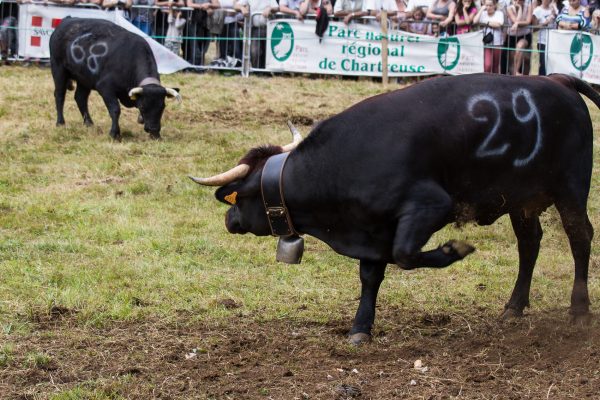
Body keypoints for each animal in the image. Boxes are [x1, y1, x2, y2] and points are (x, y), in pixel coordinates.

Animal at [48, 17, 180, 142]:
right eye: (143, 107)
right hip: (58, 69)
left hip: (84, 79)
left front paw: (157, 135)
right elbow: (115, 109)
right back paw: (60, 122)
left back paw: (89, 123)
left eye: (162, 107)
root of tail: (67, 20)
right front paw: (114, 133)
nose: (153, 128)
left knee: (80, 98)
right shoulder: (105, 88)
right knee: (59, 95)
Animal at [191, 74, 600, 344]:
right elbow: (371, 276)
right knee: (529, 244)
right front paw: (361, 328)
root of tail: (556, 80)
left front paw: (454, 250)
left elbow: (404, 255)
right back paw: (514, 306)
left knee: (580, 238)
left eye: (241, 195)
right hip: (521, 201)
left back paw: (579, 310)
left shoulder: (429, 206)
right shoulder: (371, 228)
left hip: (570, 188)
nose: (228, 218)